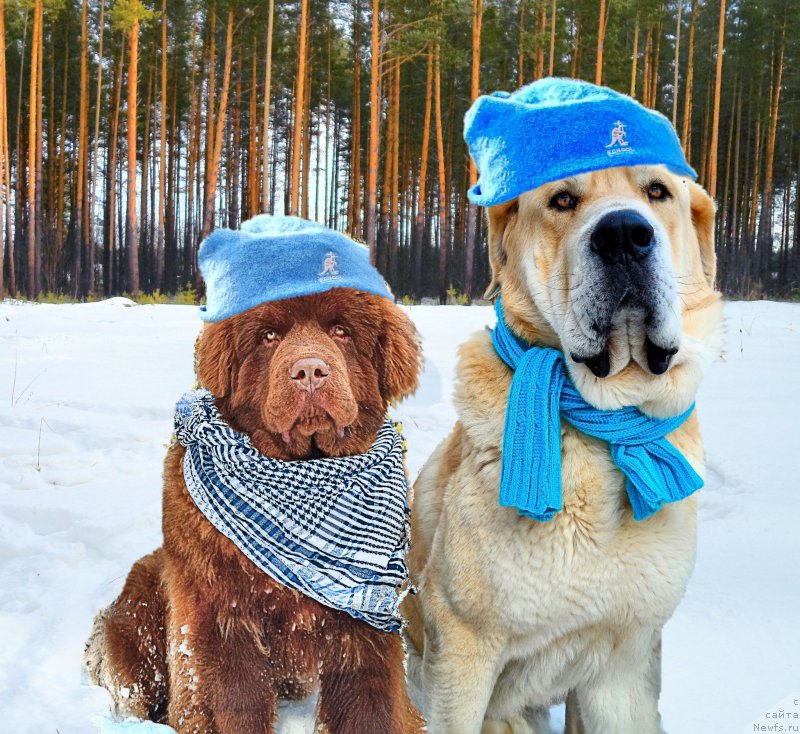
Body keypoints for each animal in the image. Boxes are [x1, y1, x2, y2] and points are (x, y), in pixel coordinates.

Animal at [83, 288, 424, 734]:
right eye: (268, 336)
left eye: (341, 330)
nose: (310, 370)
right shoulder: (220, 615)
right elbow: (234, 701)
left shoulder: (365, 621)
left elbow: (370, 705)